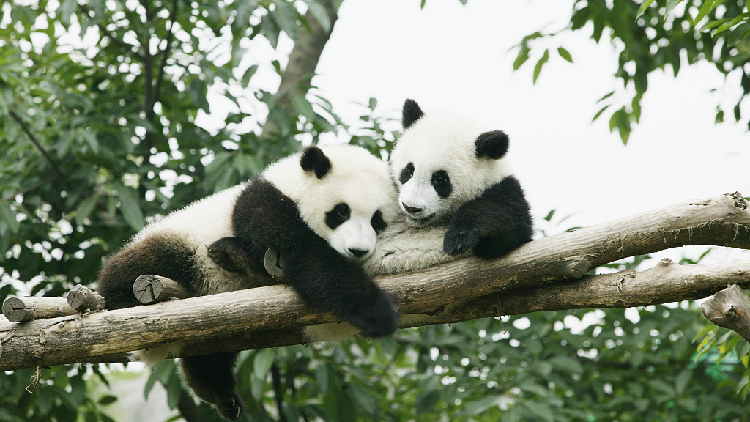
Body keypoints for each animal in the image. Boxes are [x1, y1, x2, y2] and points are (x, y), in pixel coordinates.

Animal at [97, 145, 400, 420]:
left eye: (377, 220)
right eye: (340, 213)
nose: (358, 250)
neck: (291, 185)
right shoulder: (264, 206)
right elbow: (309, 259)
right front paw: (379, 312)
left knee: (210, 356)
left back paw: (220, 394)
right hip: (182, 246)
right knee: (141, 264)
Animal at [364, 99, 533, 274]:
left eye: (440, 180)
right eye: (409, 171)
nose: (411, 207)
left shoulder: (504, 189)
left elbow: (509, 223)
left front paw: (458, 237)